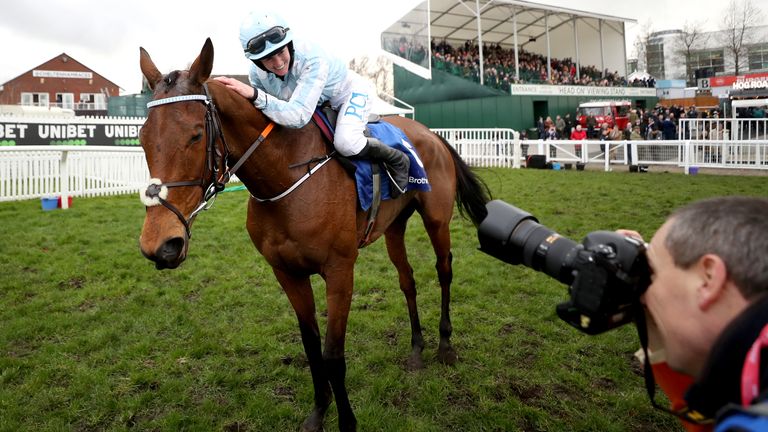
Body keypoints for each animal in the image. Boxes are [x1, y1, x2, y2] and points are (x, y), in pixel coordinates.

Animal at [137, 38, 488, 430]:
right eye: (142, 138)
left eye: (196, 135)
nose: (160, 245)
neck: (286, 175)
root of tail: (433, 135)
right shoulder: (287, 272)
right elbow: (311, 345)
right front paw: (319, 411)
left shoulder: (340, 271)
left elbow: (333, 353)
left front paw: (347, 421)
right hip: (394, 226)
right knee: (407, 280)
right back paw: (416, 348)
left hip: (437, 219)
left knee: (444, 270)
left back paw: (445, 346)